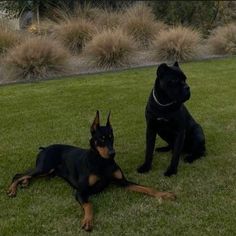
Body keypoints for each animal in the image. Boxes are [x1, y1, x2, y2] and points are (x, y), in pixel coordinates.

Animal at [7, 111, 175, 231]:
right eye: (101, 138)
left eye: (112, 137)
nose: (113, 153)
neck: (101, 161)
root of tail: (45, 148)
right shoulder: (80, 191)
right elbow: (89, 205)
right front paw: (88, 221)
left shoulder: (123, 182)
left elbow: (146, 188)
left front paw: (164, 194)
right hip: (44, 167)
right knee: (18, 174)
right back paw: (13, 189)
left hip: (48, 171)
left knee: (26, 175)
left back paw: (25, 183)